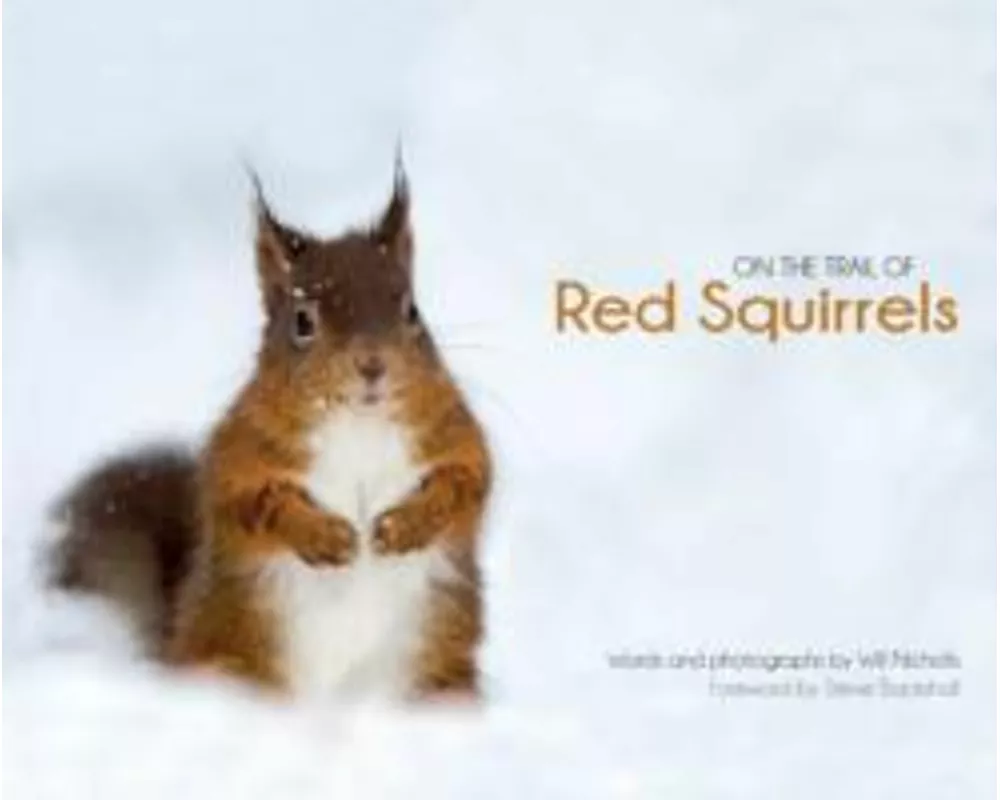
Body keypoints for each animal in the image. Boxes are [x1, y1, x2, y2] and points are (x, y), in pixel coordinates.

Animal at [50, 163, 493, 701]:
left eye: (411, 310)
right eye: (303, 321)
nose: (372, 365)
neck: (357, 422)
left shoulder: (455, 435)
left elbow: (466, 483)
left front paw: (402, 525)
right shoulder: (239, 453)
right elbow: (256, 501)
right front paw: (327, 536)